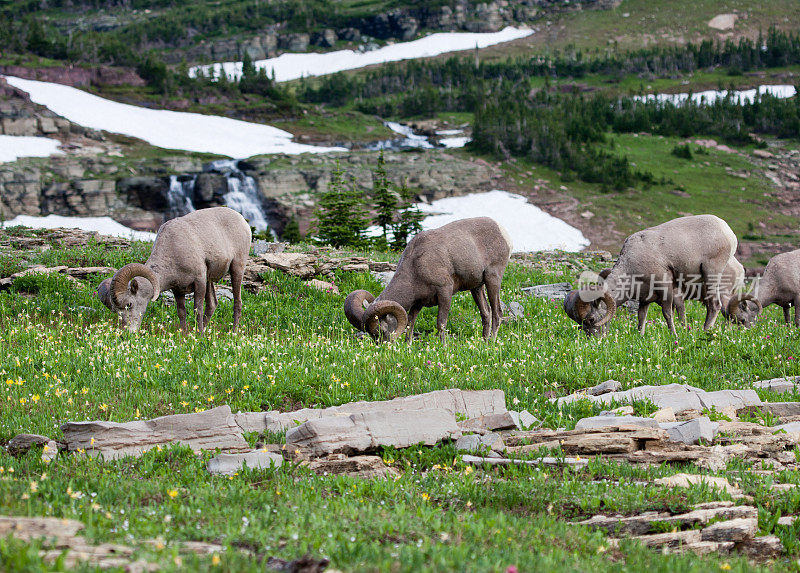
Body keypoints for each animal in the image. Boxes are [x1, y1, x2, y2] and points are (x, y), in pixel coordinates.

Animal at [99, 207, 252, 332]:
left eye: (129, 304)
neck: (173, 250)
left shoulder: (199, 281)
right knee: (212, 305)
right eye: (115, 310)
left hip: (236, 268)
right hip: (210, 280)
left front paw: (199, 337)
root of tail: (242, 220)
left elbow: (197, 310)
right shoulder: (178, 289)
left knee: (237, 302)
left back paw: (233, 332)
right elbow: (181, 312)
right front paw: (185, 336)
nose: (126, 333)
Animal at [344, 214, 512, 340]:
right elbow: (410, 323)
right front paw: (408, 346)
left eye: (381, 331)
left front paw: (443, 347)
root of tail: (503, 231)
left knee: (497, 313)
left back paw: (492, 342)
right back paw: (484, 341)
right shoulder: (418, 303)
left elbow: (441, 323)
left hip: (492, 279)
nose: (385, 347)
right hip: (476, 287)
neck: (416, 265)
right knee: (486, 314)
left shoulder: (445, 292)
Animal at [564, 214, 736, 336]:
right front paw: (640, 336)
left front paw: (674, 335)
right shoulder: (644, 298)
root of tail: (727, 231)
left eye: (591, 319)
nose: (594, 339)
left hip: (711, 274)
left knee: (714, 305)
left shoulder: (666, 288)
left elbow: (667, 314)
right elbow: (641, 318)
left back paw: (705, 331)